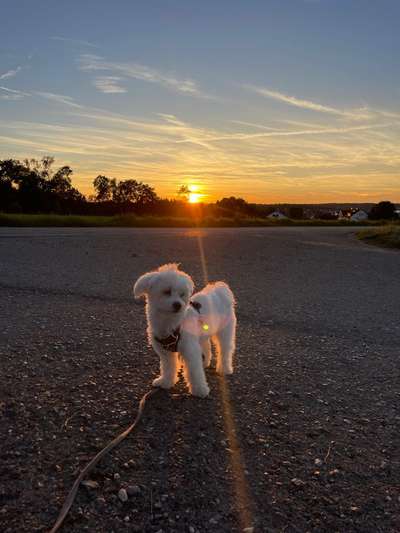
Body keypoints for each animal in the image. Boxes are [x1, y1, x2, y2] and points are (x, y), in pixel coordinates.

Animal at [134, 264, 236, 396]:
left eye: (182, 294)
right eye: (167, 291)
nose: (178, 304)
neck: (170, 323)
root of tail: (219, 291)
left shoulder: (190, 350)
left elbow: (194, 371)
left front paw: (200, 390)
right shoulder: (165, 352)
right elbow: (168, 367)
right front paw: (165, 382)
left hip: (225, 332)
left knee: (225, 350)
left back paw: (224, 369)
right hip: (202, 334)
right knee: (206, 346)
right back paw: (205, 362)